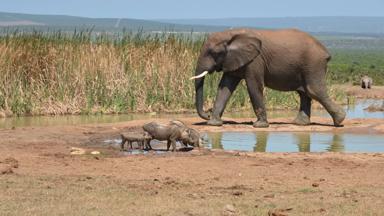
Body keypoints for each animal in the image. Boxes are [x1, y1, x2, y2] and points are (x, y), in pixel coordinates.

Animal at [190, 27, 346, 127]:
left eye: (214, 53)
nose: (208, 112)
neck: (231, 34)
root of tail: (326, 51)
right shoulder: (232, 59)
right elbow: (225, 87)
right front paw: (214, 123)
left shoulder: (256, 60)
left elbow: (253, 86)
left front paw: (259, 125)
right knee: (304, 92)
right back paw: (300, 124)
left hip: (313, 64)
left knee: (313, 90)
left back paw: (339, 121)